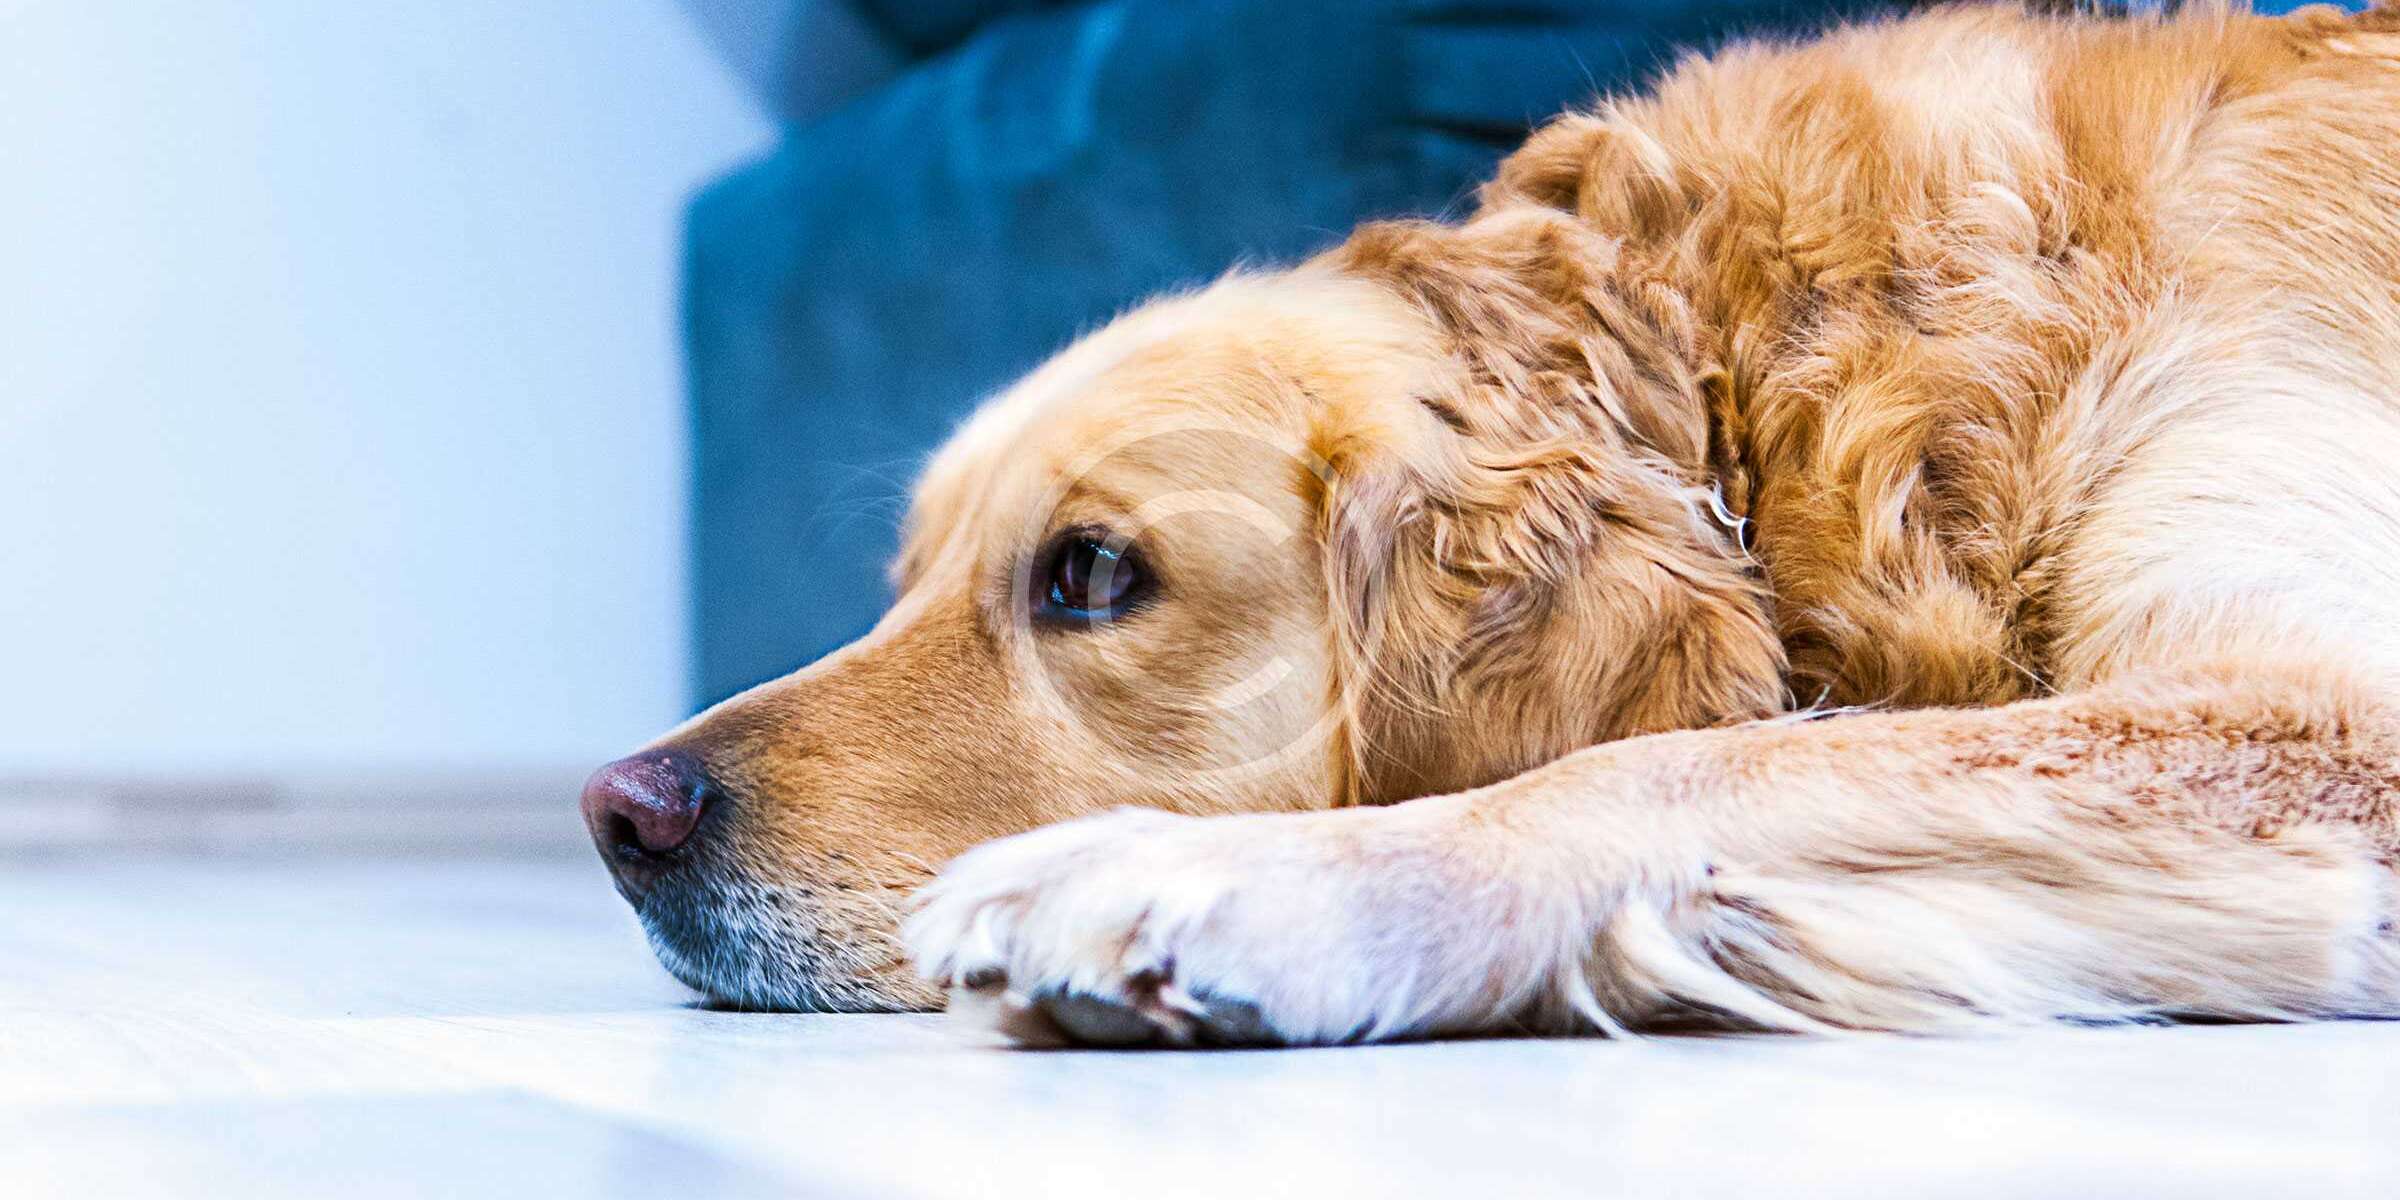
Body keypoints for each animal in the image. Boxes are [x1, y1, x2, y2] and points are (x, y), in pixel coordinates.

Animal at [582, 1, 2400, 1045]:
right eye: (902, 581)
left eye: (1088, 575)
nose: (620, 814)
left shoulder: (2335, 712)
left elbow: (1681, 763)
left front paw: (1221, 883)